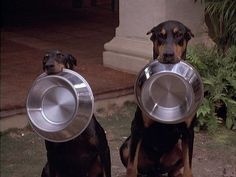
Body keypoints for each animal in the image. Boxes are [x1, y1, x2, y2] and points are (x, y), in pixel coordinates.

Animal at [41, 49, 110, 177]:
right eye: (45, 58)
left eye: (60, 55)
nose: (48, 65)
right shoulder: (51, 155)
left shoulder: (103, 150)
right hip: (46, 167)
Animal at [120, 20, 195, 177]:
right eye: (160, 35)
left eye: (179, 35)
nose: (168, 54)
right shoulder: (138, 127)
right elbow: (131, 167)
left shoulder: (189, 131)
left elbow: (188, 168)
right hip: (126, 146)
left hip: (178, 149)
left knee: (174, 169)